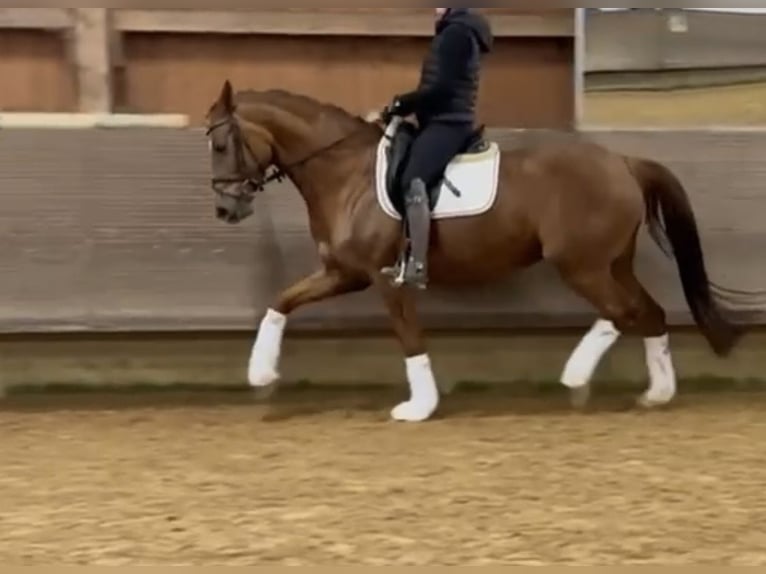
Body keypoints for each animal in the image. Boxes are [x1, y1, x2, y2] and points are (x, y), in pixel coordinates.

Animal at [204, 79, 741, 423]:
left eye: (219, 145)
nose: (226, 209)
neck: (345, 172)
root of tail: (624, 161)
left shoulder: (384, 276)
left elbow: (409, 336)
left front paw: (418, 407)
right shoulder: (345, 272)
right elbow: (281, 301)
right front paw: (260, 372)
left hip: (582, 266)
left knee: (623, 311)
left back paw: (576, 378)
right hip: (613, 262)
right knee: (648, 313)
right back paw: (657, 394)